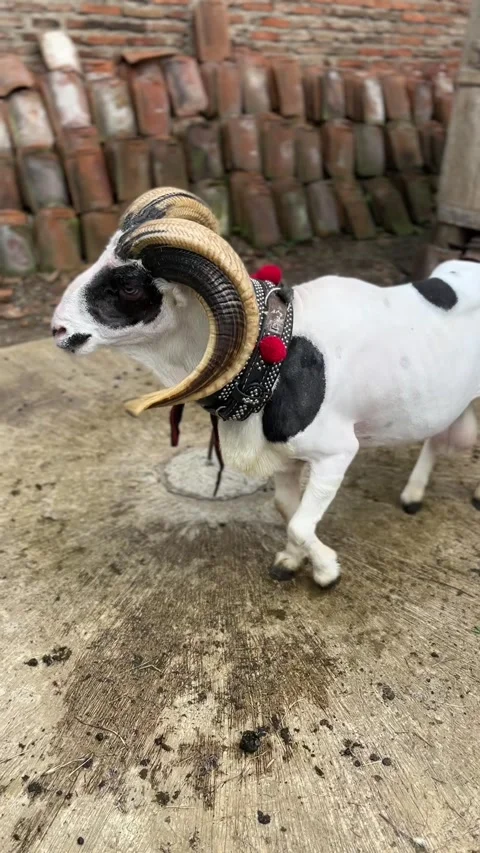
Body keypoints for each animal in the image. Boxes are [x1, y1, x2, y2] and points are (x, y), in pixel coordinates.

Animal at [52, 187, 480, 588]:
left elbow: (300, 522)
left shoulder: (336, 455)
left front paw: (327, 572)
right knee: (436, 439)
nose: (58, 329)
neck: (276, 352)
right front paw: (290, 562)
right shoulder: (285, 460)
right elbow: (286, 511)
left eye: (128, 287)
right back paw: (412, 496)